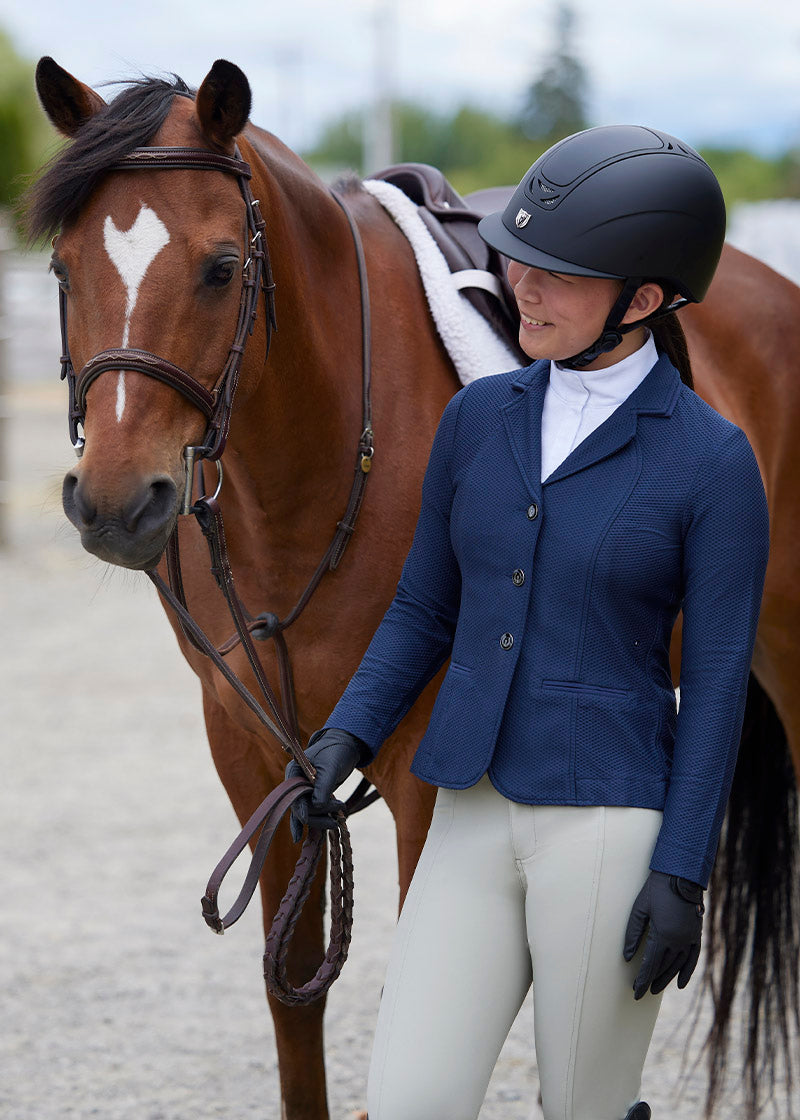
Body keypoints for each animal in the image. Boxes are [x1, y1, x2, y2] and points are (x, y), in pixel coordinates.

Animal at [28, 59, 793, 1120]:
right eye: (64, 272)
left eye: (222, 268)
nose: (111, 504)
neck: (310, 465)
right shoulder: (258, 756)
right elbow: (293, 988)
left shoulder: (428, 771)